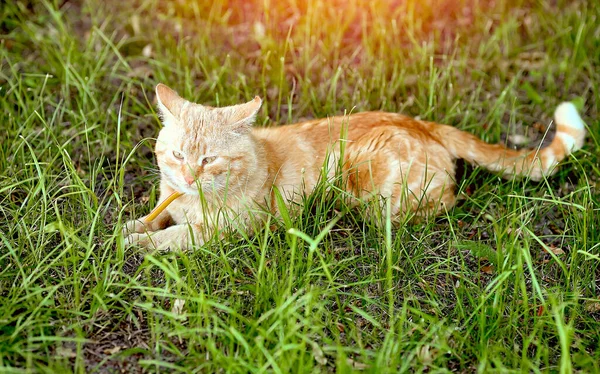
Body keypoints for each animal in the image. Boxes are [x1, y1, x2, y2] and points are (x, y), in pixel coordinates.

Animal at [122, 83, 584, 250]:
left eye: (208, 159)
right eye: (177, 155)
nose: (188, 176)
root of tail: (421, 122)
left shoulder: (233, 228)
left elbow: (174, 237)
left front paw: (139, 244)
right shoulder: (167, 199)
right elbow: (151, 218)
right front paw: (131, 228)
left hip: (369, 181)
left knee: (445, 201)